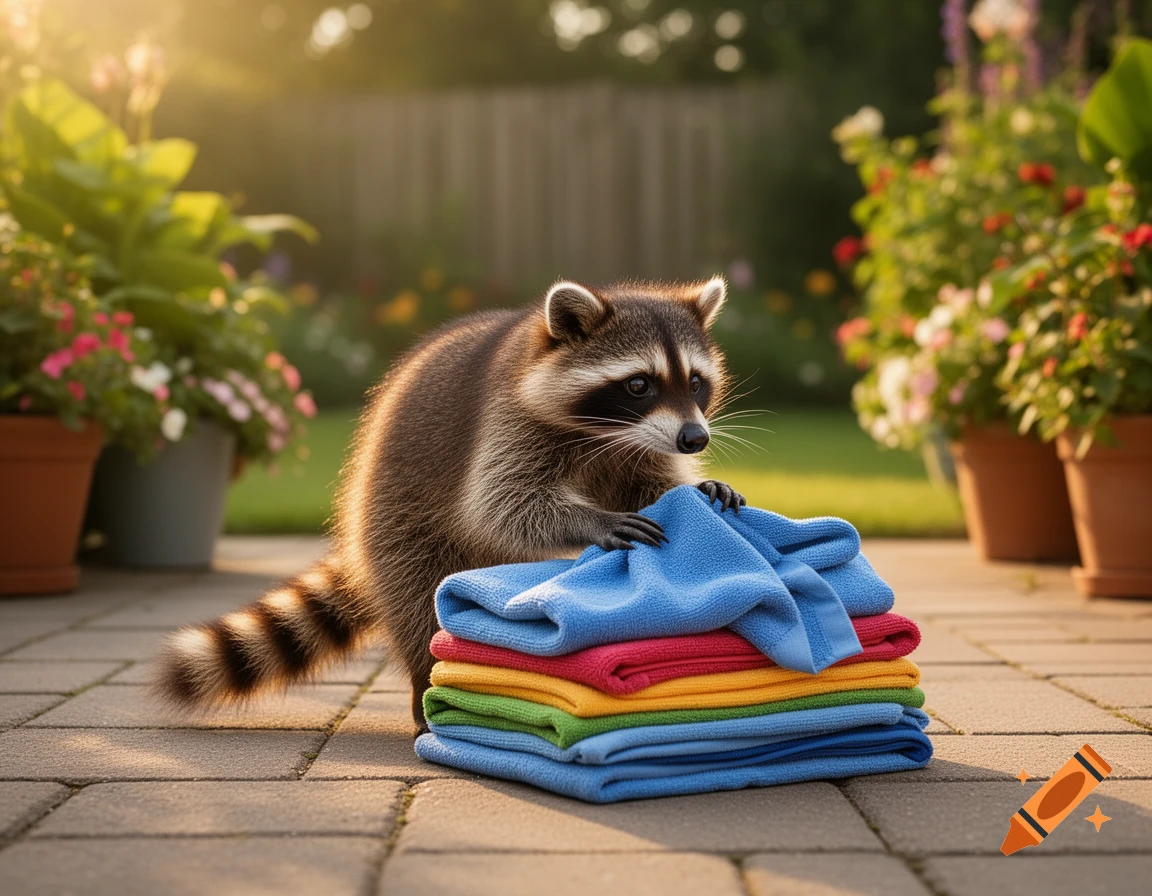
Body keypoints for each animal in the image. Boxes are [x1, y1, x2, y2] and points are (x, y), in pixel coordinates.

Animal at [155, 277, 745, 727]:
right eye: (639, 384)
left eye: (696, 382)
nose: (695, 439)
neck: (604, 436)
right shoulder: (507, 421)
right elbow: (501, 504)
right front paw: (592, 520)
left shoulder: (633, 450)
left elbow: (651, 481)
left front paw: (694, 488)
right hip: (399, 522)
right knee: (422, 608)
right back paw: (429, 688)